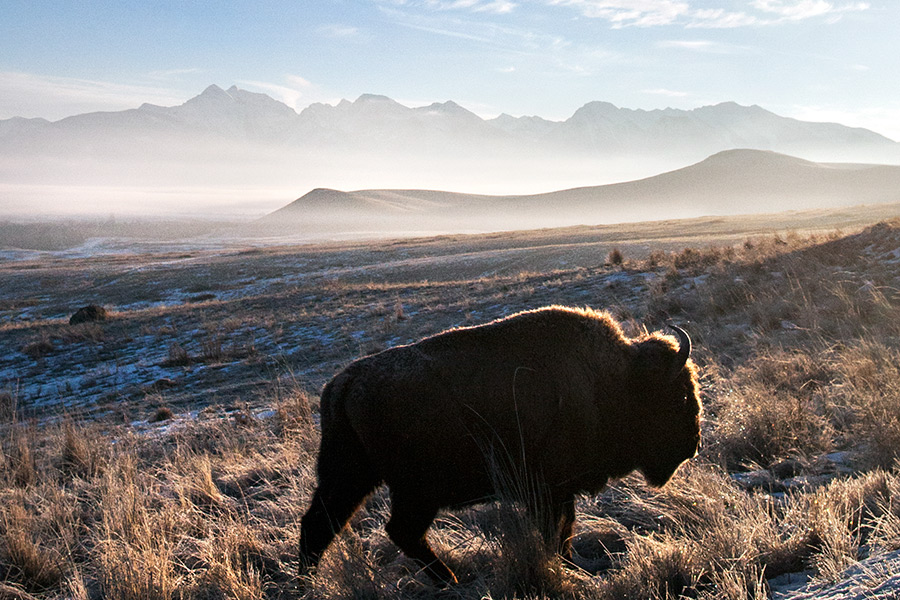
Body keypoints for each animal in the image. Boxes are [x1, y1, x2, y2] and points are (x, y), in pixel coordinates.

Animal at [299, 306, 701, 584]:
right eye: (680, 395)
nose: (693, 444)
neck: (613, 380)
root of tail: (344, 383)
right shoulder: (548, 490)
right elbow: (556, 531)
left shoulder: (560, 491)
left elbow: (567, 529)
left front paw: (572, 566)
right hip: (415, 489)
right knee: (399, 530)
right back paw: (449, 580)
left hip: (351, 477)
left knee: (320, 525)